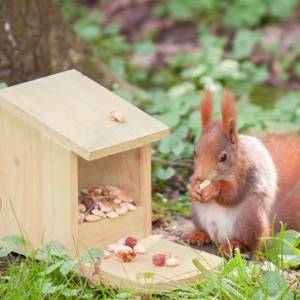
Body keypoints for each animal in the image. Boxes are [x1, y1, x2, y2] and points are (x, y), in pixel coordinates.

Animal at [188, 88, 300, 254]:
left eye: (224, 157)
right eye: (195, 152)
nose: (203, 176)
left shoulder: (246, 171)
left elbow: (232, 193)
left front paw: (214, 188)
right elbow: (194, 180)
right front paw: (194, 188)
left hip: (250, 216)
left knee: (250, 244)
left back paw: (233, 244)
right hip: (197, 211)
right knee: (206, 232)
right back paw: (199, 235)